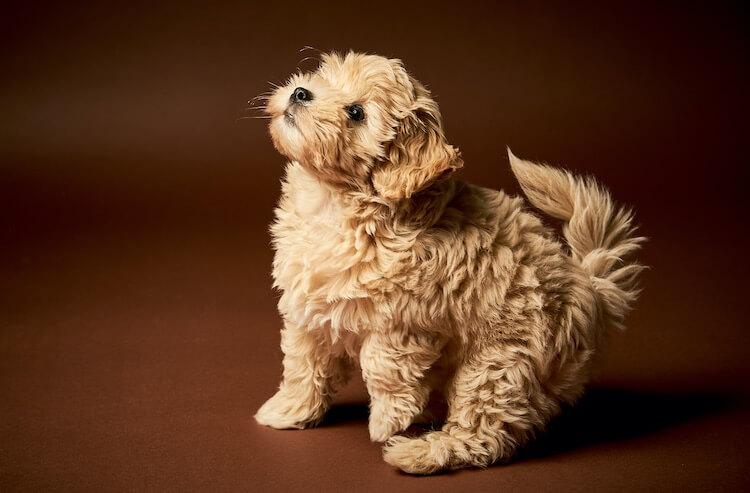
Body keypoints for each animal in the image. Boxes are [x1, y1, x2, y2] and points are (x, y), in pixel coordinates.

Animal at [253, 51, 648, 472]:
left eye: (356, 112)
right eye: (323, 75)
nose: (300, 92)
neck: (335, 203)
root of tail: (589, 290)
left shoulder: (404, 321)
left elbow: (383, 367)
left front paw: (386, 421)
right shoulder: (308, 312)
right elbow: (303, 365)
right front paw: (288, 410)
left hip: (499, 364)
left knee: (483, 433)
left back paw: (419, 452)